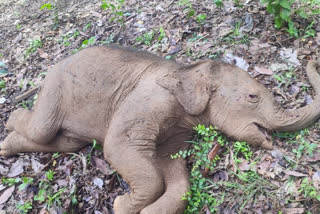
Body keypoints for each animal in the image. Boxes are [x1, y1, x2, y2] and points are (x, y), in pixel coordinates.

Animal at [0, 46, 320, 213]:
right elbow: (119, 146)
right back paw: (11, 121)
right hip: (56, 88)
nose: (312, 59)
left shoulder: (177, 130)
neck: (187, 70)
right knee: (42, 129)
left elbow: (171, 169)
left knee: (64, 142)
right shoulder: (150, 100)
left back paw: (7, 144)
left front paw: (146, 211)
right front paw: (121, 205)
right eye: (253, 97)